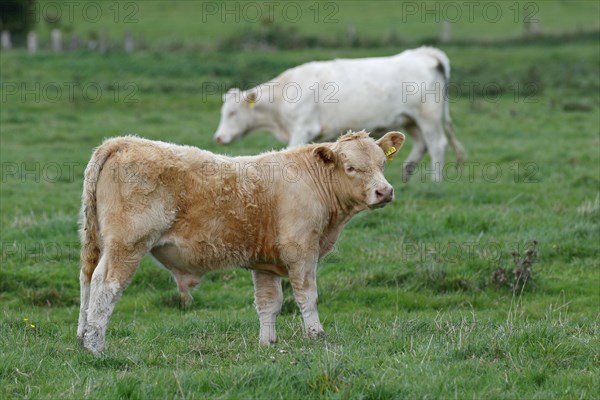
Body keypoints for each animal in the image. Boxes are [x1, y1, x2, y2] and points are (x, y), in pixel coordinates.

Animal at [213, 47, 466, 183]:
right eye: (224, 112)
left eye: (232, 112)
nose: (219, 137)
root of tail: (424, 54)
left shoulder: (303, 128)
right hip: (410, 119)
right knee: (421, 144)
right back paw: (406, 175)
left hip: (428, 116)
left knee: (437, 144)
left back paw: (435, 180)